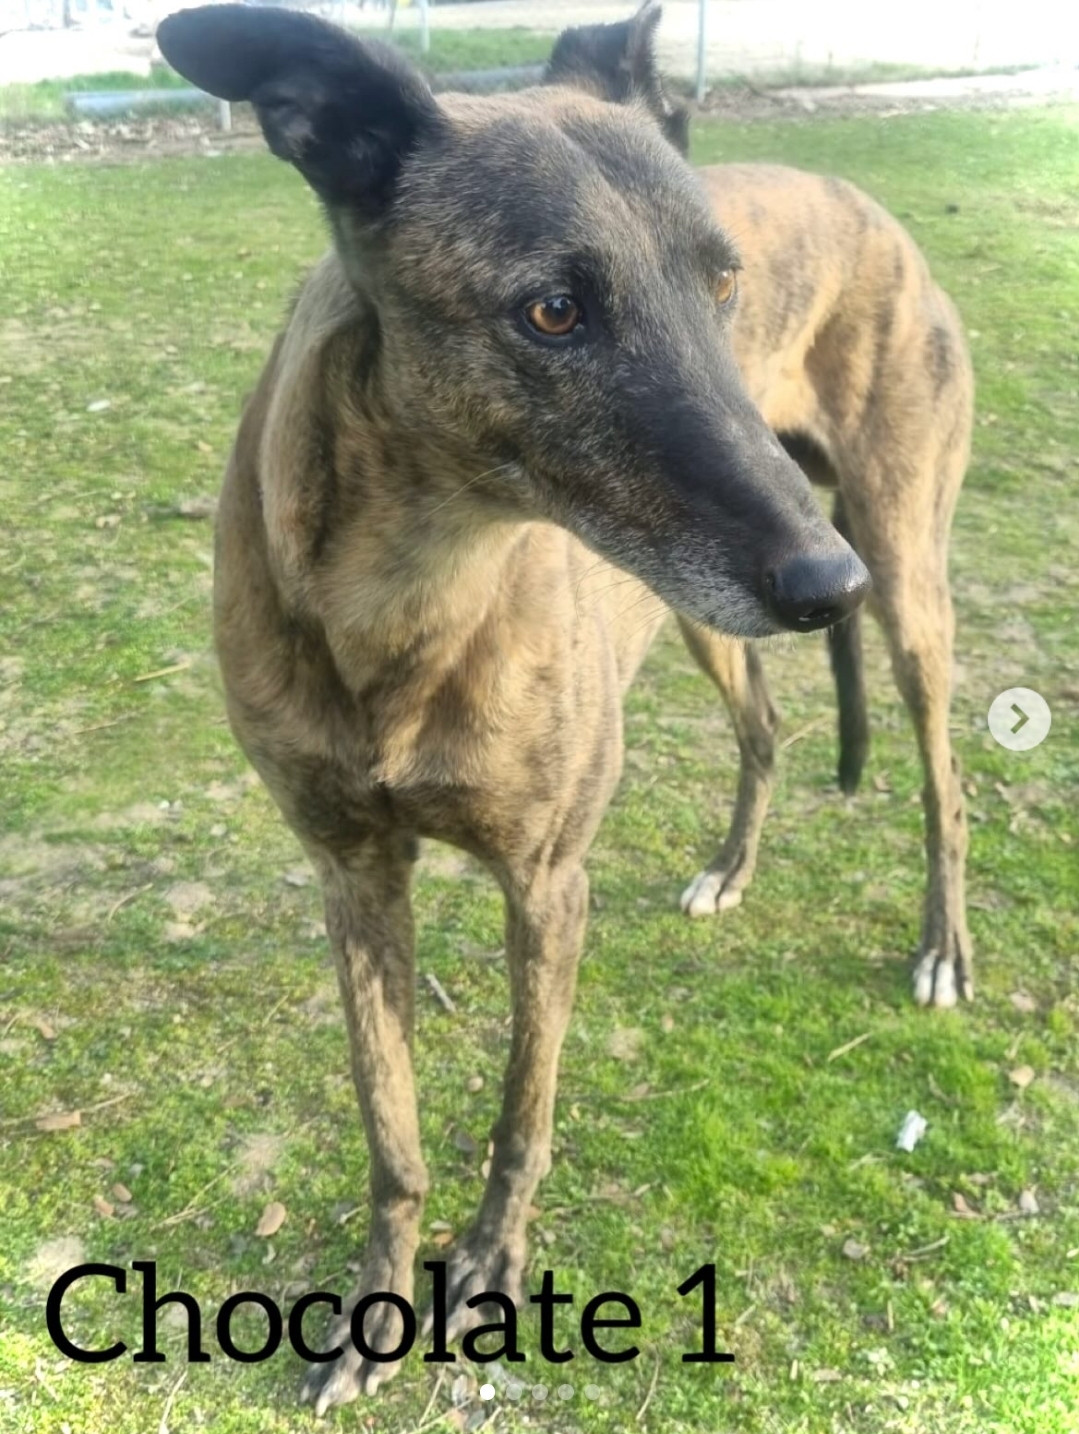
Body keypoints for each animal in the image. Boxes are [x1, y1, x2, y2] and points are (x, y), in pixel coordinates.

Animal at [157, 1, 970, 1409]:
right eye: (551, 311)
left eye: (721, 284)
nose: (827, 588)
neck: (404, 593)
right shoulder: (353, 876)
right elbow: (392, 1132)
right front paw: (372, 1309)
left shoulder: (546, 881)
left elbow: (520, 1112)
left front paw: (489, 1265)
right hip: (709, 609)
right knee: (766, 725)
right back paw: (728, 870)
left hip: (898, 564)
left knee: (945, 777)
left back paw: (939, 948)